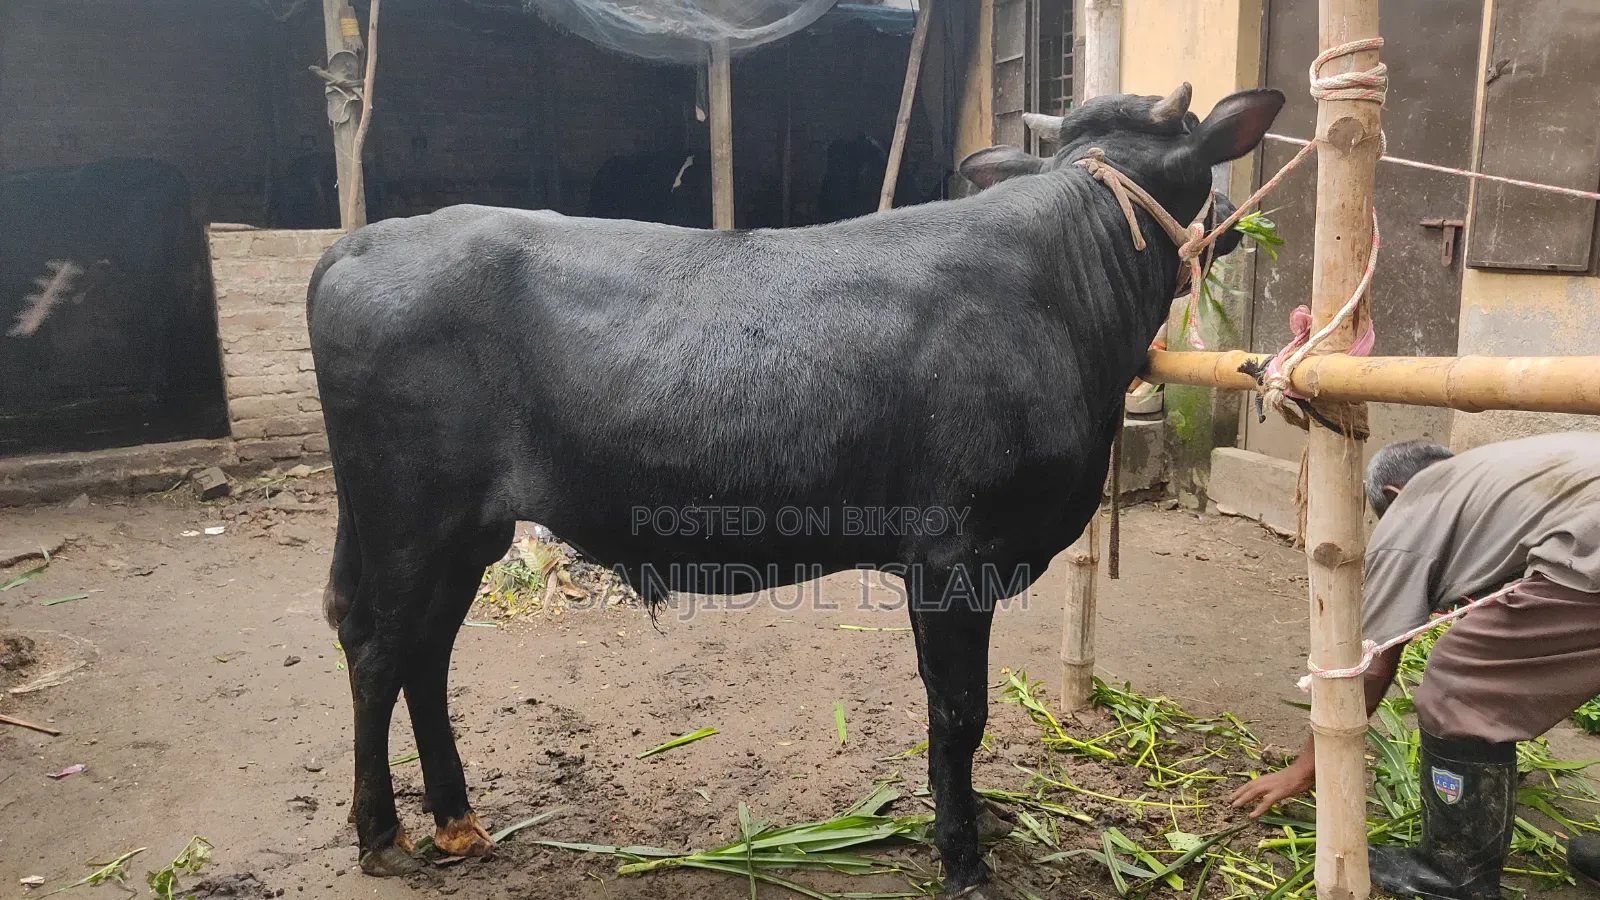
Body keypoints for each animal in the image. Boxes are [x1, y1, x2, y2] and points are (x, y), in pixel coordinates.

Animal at [307, 83, 1284, 896]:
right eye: (1198, 167)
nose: (1240, 220)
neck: (1065, 288)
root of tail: (363, 239)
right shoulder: (956, 557)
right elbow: (959, 713)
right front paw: (964, 863)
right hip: (409, 516)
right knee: (379, 653)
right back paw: (383, 835)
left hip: (462, 530)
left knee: (425, 655)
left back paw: (456, 822)